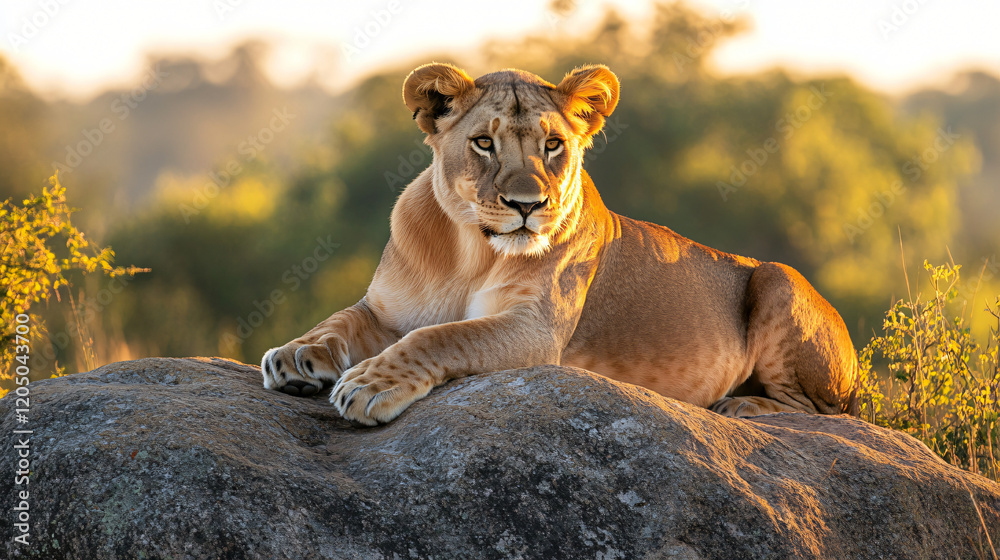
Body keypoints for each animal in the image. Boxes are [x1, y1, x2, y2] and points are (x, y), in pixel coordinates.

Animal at [260, 62, 860, 426]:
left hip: (777, 276)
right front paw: (295, 357)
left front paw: (368, 384)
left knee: (818, 412)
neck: (468, 253)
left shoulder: (535, 332)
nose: (527, 204)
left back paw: (740, 408)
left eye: (553, 145)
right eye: (484, 143)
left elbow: (441, 337)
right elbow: (338, 321)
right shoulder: (384, 309)